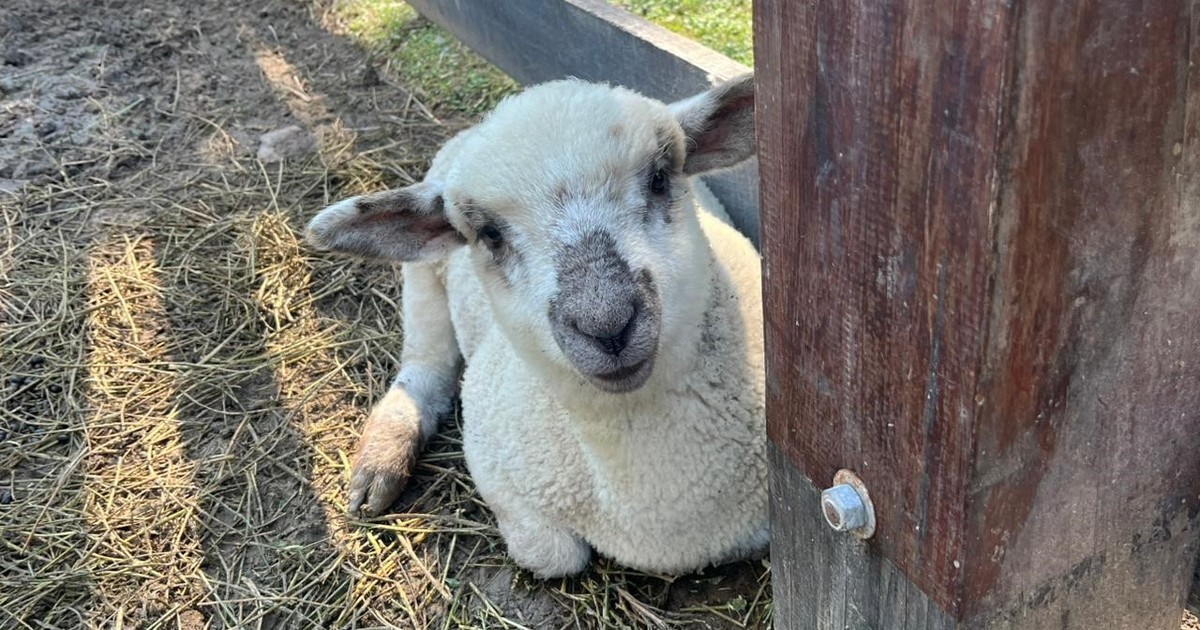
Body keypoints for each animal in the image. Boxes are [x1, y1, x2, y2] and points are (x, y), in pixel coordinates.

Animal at [304, 74, 767, 577]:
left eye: (660, 178)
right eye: (490, 234)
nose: (606, 324)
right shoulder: (490, 458)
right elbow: (554, 555)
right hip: (423, 281)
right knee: (423, 368)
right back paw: (381, 462)